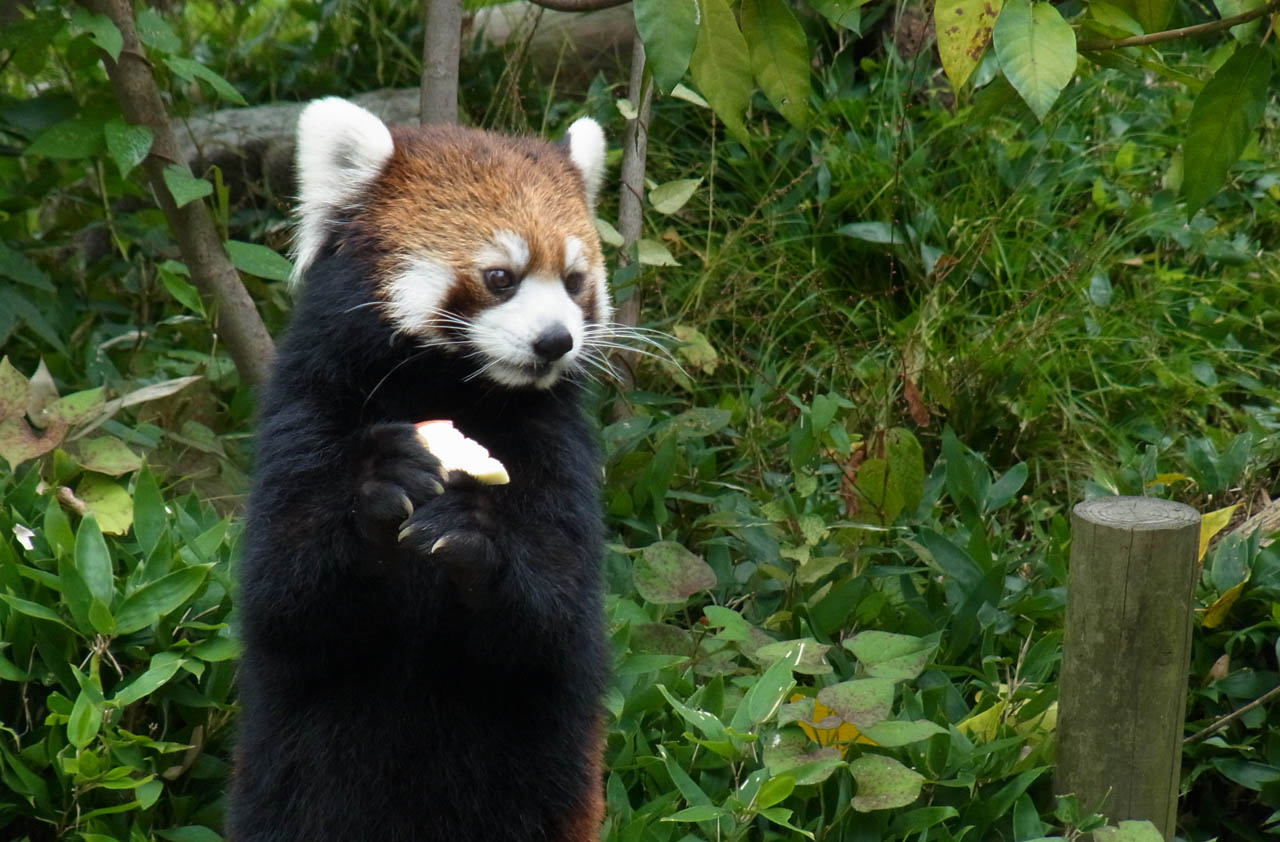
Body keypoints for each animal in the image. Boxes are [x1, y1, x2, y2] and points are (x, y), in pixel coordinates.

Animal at [230, 96, 609, 839]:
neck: (450, 389)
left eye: (576, 282)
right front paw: (381, 482)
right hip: (287, 780)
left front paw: (474, 532)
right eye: (501, 277)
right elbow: (287, 596)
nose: (556, 341)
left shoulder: (559, 448)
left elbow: (553, 617)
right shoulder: (305, 414)